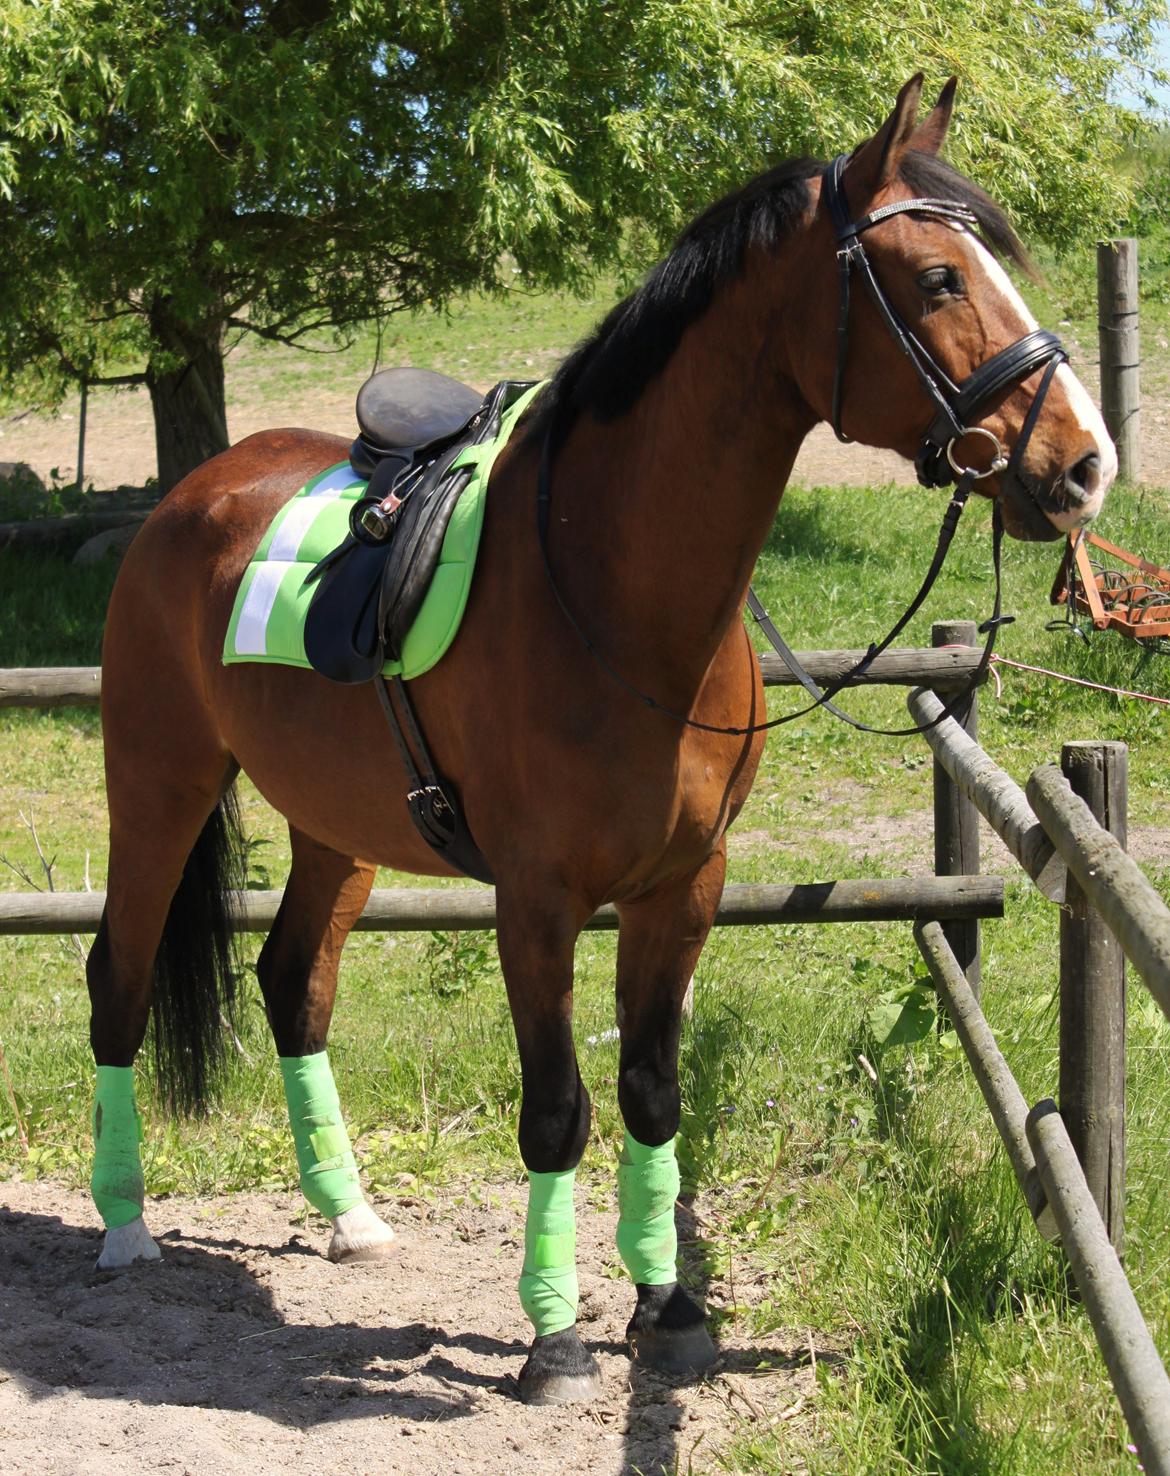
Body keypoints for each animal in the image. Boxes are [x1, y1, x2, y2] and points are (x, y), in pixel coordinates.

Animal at [86, 77, 1109, 1405]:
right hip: (157, 786)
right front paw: (556, 1335)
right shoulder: (537, 902)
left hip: (332, 825)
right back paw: (122, 1225)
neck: (615, 590)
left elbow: (654, 1094)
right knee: (118, 976)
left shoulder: (684, 888)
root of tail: (190, 494)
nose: (1085, 466)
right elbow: (558, 1109)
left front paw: (667, 1307)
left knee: (293, 984)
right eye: (937, 277)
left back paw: (349, 1215)